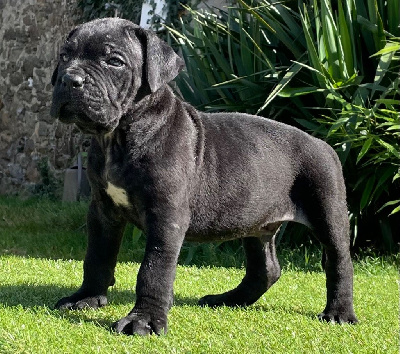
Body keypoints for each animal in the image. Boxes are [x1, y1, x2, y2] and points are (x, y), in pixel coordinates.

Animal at [50, 17, 360, 334]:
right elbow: (97, 256)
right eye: (64, 56)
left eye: (114, 61)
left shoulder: (167, 215)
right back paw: (229, 299)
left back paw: (339, 312)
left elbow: (154, 268)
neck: (118, 137)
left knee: (339, 261)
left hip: (326, 208)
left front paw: (144, 319)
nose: (70, 80)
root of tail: (322, 143)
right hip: (257, 219)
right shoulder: (102, 210)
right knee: (266, 268)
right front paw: (86, 297)